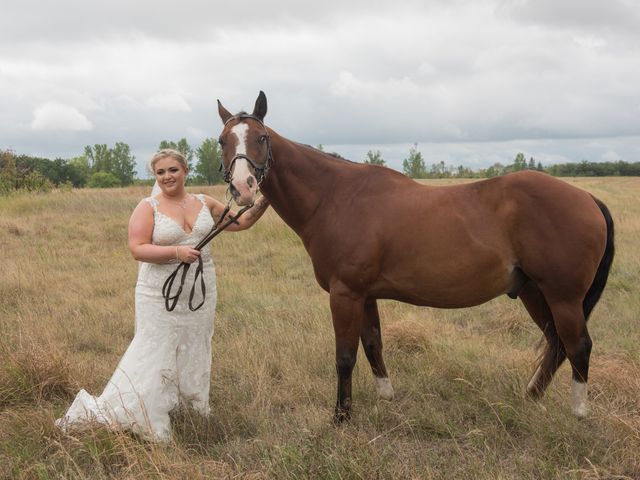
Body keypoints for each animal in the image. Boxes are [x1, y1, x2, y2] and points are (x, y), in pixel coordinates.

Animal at [216, 92, 616, 422]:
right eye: (223, 141)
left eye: (261, 138)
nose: (242, 188)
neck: (336, 197)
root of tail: (587, 198)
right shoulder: (365, 295)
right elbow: (373, 345)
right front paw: (385, 398)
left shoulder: (345, 293)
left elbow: (345, 356)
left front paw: (341, 417)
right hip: (534, 291)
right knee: (556, 344)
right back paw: (530, 396)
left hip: (562, 296)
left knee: (578, 346)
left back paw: (579, 414)